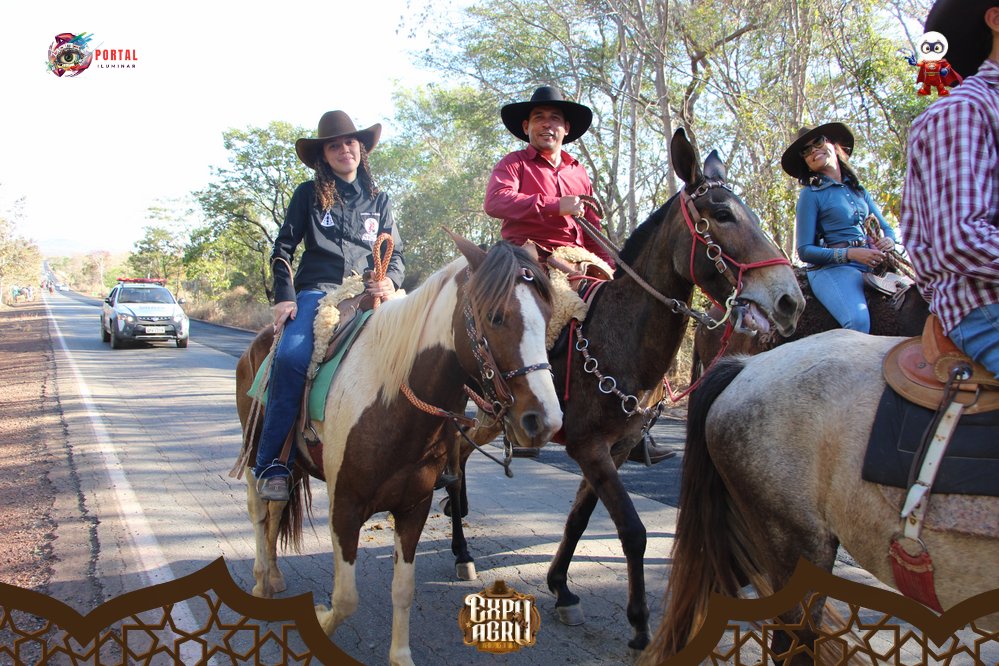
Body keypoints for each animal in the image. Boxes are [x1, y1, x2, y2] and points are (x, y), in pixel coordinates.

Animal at [234, 236, 562, 666]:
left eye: (549, 314)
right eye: (495, 316)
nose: (545, 420)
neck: (390, 401)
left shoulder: (413, 508)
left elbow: (403, 589)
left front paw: (400, 656)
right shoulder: (344, 507)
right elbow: (345, 599)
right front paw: (320, 622)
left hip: (294, 464)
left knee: (276, 510)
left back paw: (273, 575)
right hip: (257, 451)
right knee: (260, 510)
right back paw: (260, 583)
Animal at [440, 128, 806, 654]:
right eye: (721, 214)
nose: (789, 299)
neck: (618, 337)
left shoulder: (615, 446)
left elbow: (580, 517)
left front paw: (562, 588)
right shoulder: (589, 446)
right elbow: (632, 531)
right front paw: (637, 625)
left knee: (464, 454)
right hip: (480, 406)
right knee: (454, 455)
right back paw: (460, 548)